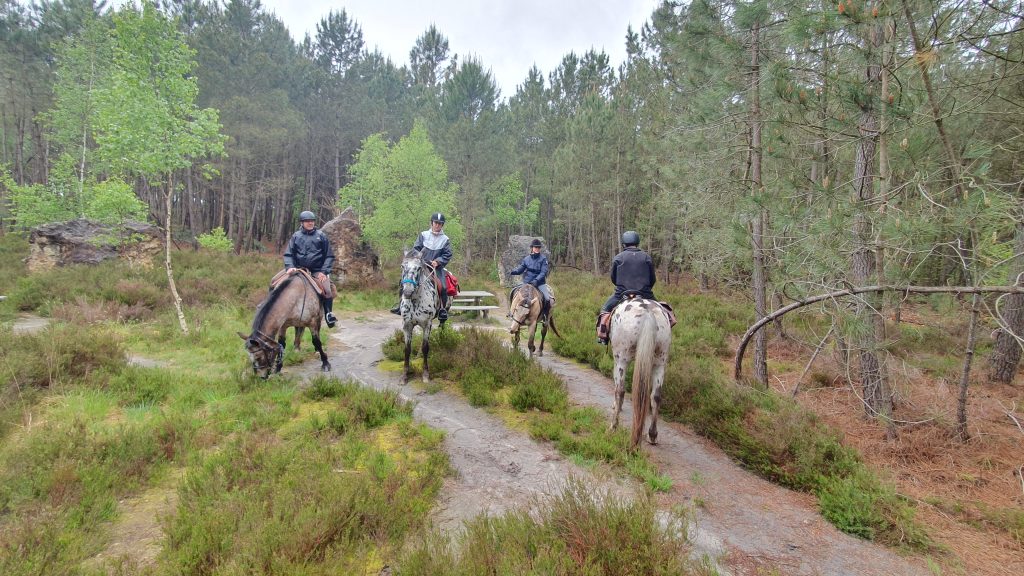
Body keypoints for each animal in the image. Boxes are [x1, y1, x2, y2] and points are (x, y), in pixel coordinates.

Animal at [398, 249, 448, 383]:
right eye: (402, 266)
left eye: (419, 268)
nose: (407, 292)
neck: (415, 300)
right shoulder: (407, 325)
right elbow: (407, 349)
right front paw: (404, 375)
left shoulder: (427, 325)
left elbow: (425, 347)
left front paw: (426, 374)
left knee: (442, 327)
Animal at [607, 295, 672, 450]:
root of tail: (648, 313)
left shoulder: (617, 360)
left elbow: (617, 387)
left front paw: (616, 406)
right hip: (659, 362)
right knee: (656, 396)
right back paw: (652, 435)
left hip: (622, 359)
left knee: (621, 390)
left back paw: (613, 426)